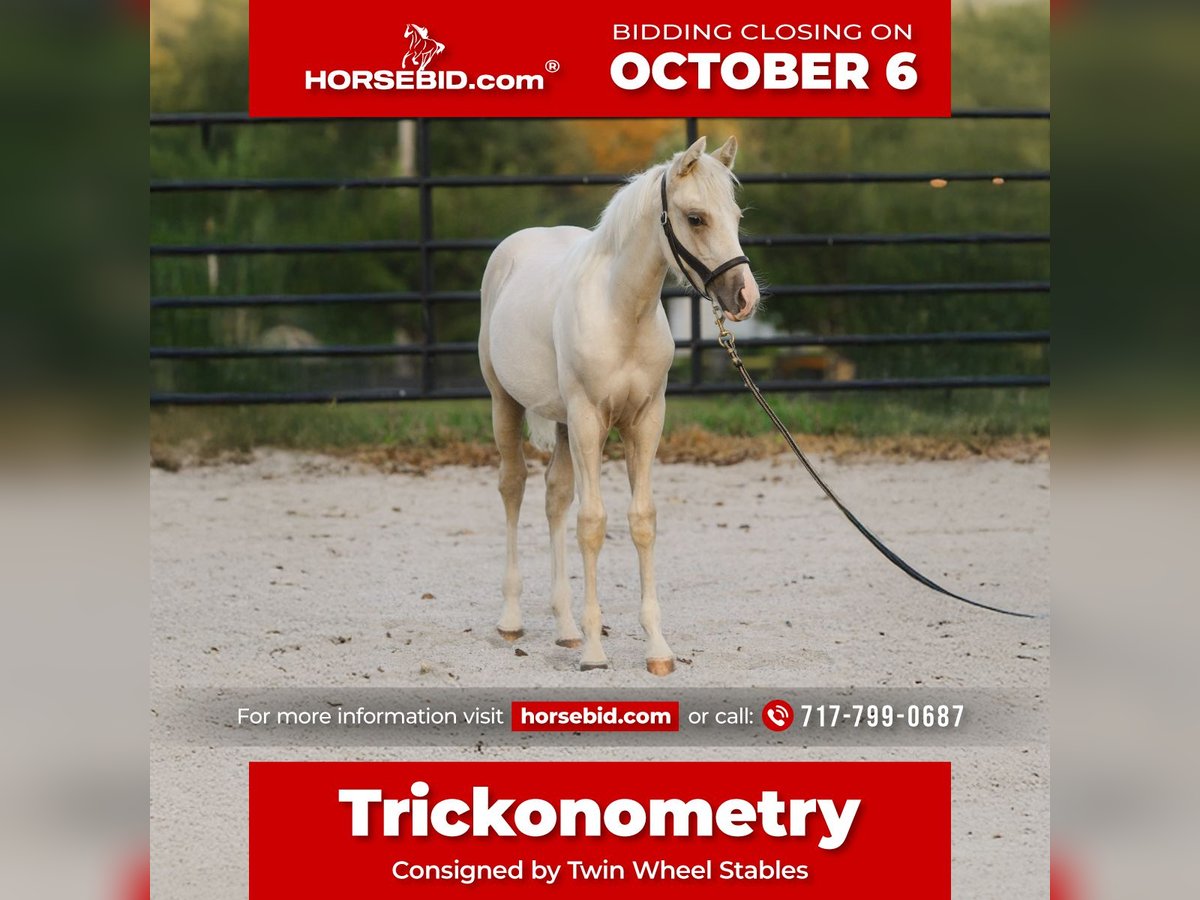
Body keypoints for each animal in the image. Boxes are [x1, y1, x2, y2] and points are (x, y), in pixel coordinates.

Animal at [478, 136, 761, 674]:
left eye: (736, 217)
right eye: (696, 218)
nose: (744, 298)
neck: (620, 313)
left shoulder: (645, 420)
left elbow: (640, 520)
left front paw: (657, 649)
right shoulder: (589, 419)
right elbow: (592, 524)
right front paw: (594, 652)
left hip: (563, 423)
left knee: (555, 496)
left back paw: (565, 627)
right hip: (505, 402)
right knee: (512, 488)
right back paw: (511, 619)